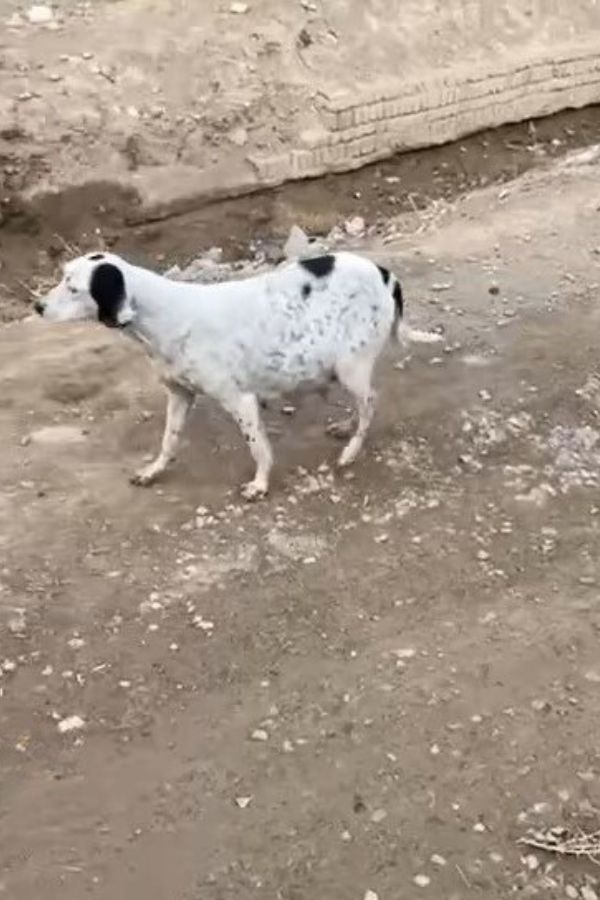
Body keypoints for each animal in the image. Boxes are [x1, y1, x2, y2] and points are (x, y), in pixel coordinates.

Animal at [34, 250, 436, 500]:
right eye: (62, 277)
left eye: (73, 287)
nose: (36, 305)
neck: (162, 317)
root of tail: (386, 274)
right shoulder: (179, 394)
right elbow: (168, 442)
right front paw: (154, 470)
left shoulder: (239, 399)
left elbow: (259, 447)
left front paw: (260, 484)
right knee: (364, 403)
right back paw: (345, 429)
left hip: (350, 366)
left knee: (371, 402)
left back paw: (352, 450)